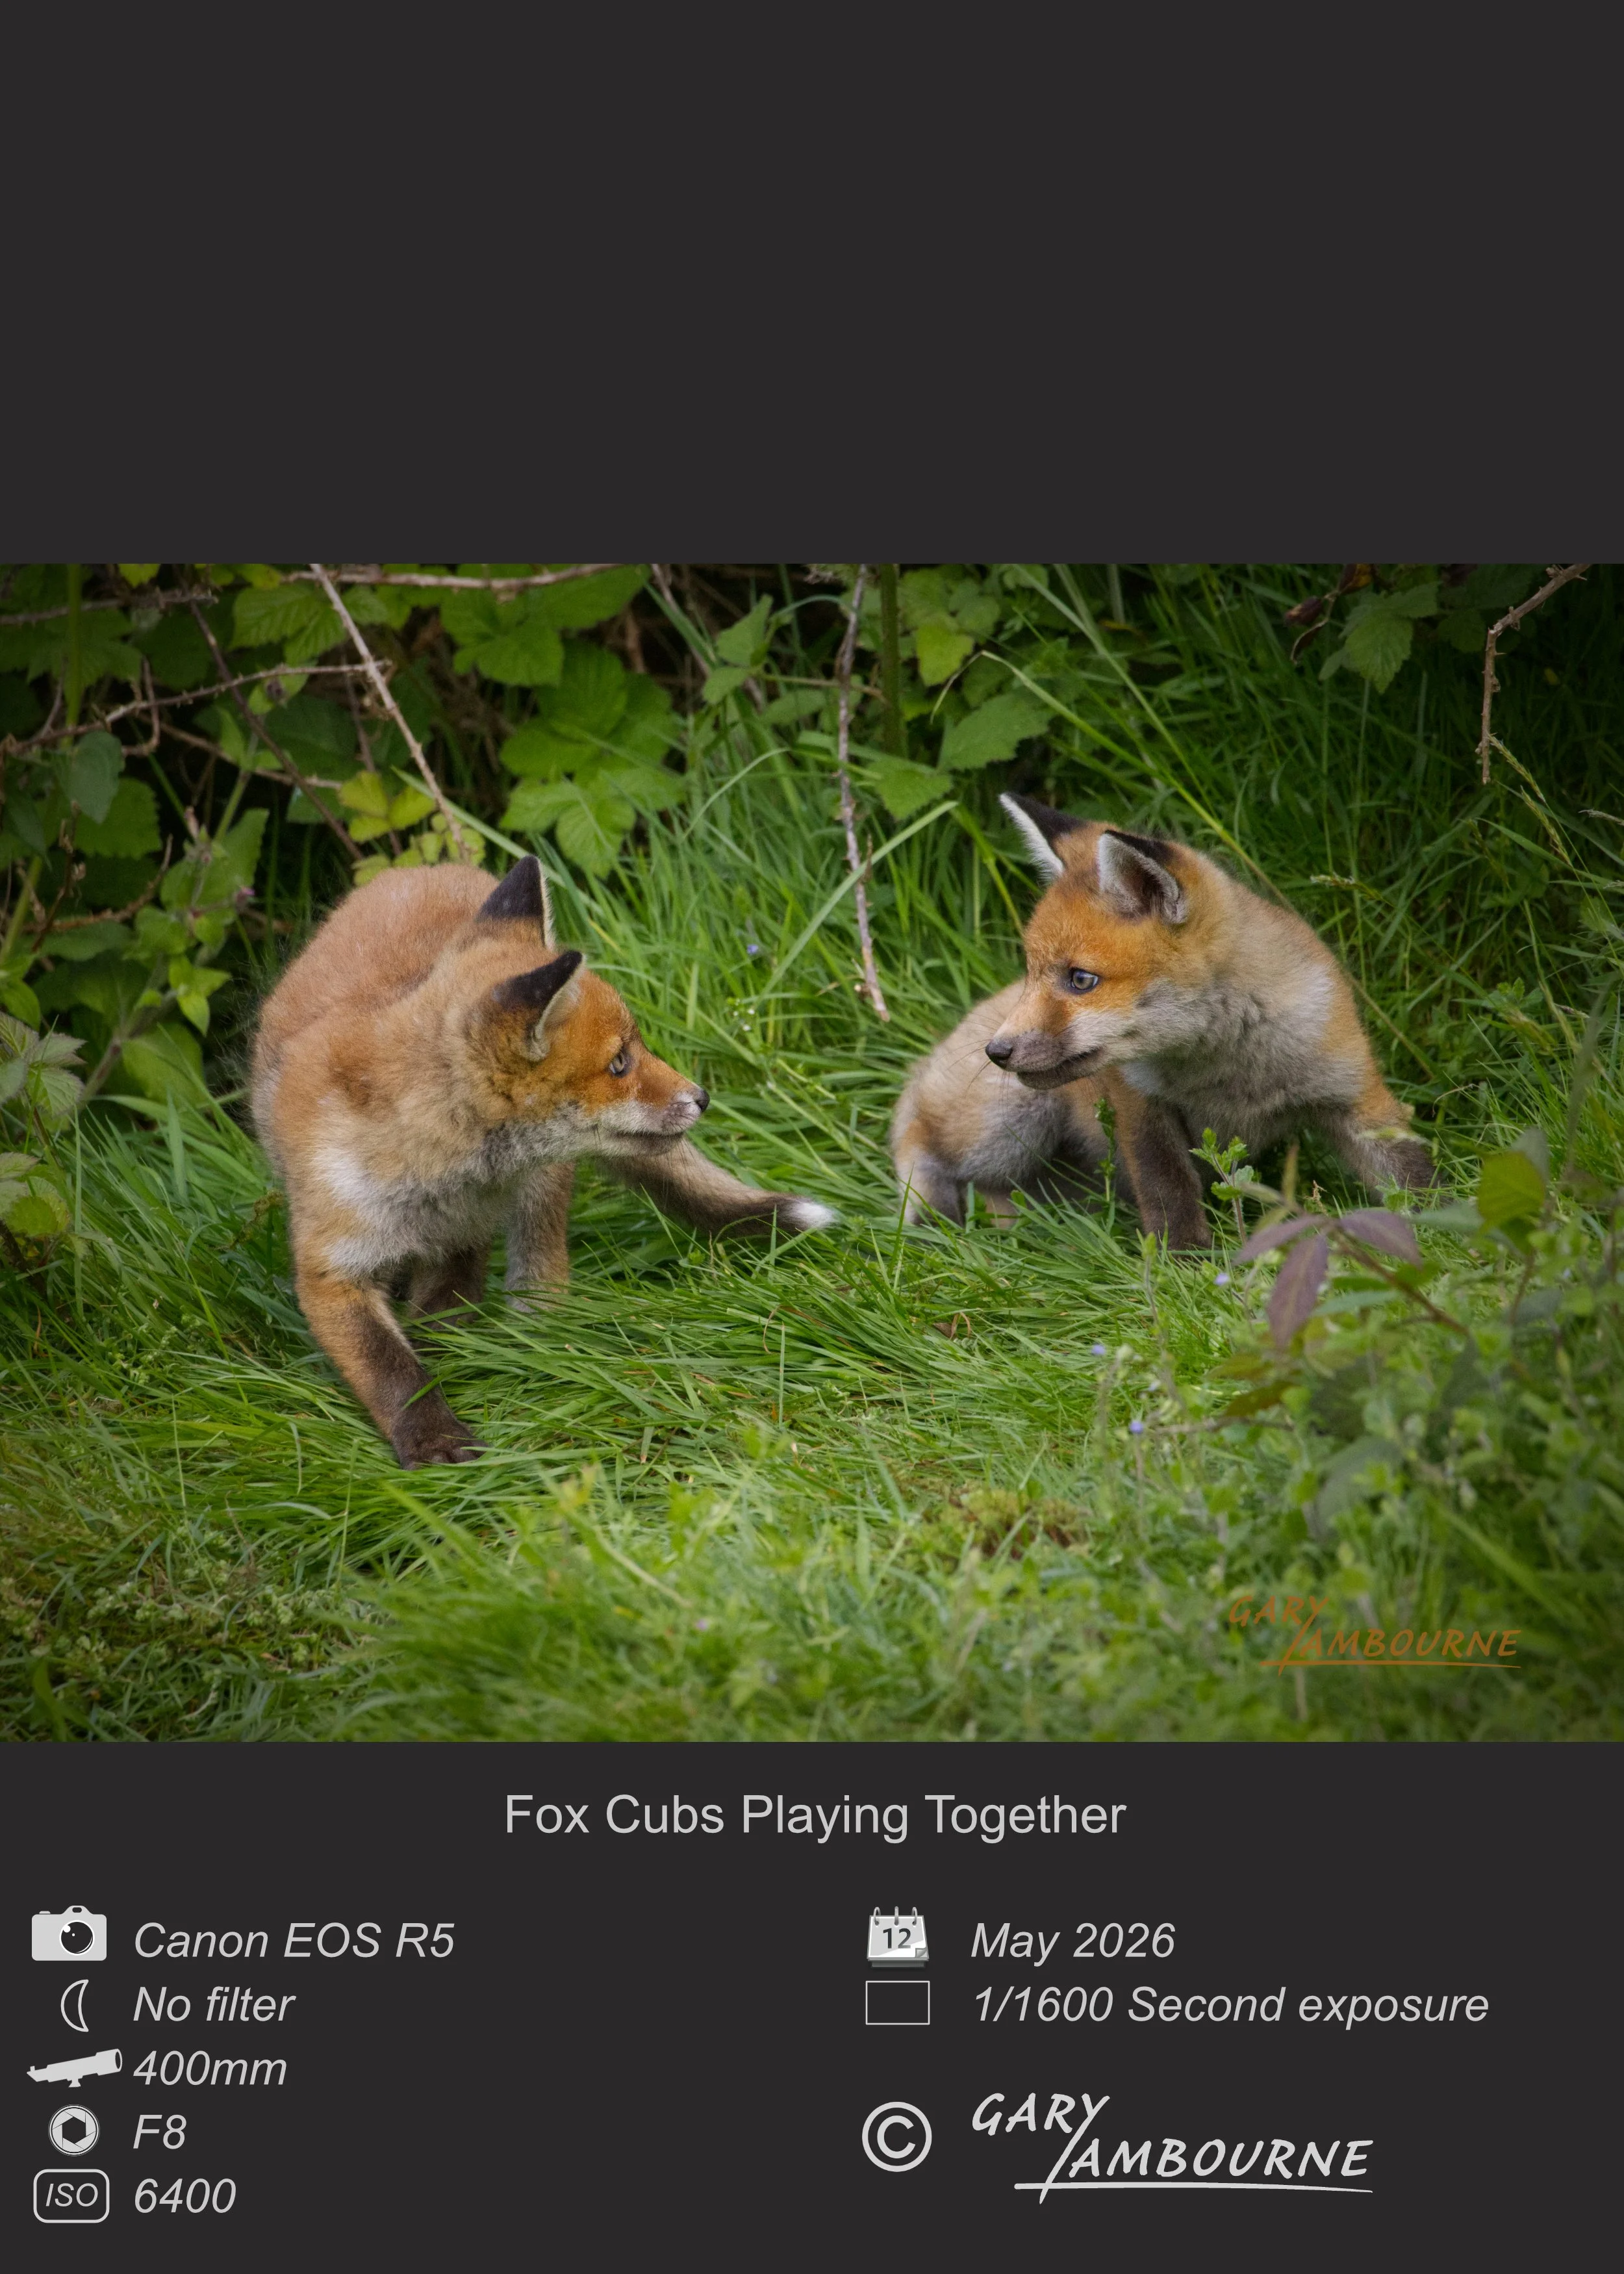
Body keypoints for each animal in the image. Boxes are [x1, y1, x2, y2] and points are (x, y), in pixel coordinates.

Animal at [252, 855, 833, 1467]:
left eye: (635, 1050)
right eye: (620, 1062)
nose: (702, 1098)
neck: (433, 1174)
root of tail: (430, 867)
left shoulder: (462, 1236)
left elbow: (445, 1312)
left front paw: (457, 1364)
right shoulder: (334, 1266)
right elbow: (393, 1370)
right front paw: (434, 1436)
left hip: (542, 1190)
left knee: (541, 1266)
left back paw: (539, 1339)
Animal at [890, 793, 1434, 1249]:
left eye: (1080, 980)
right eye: (1031, 973)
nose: (997, 1052)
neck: (1226, 1071)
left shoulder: (1355, 1094)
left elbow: (1414, 1179)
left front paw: (1442, 1233)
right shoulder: (1142, 1109)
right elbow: (1167, 1192)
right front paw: (1187, 1267)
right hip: (1008, 1124)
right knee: (919, 1140)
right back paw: (935, 1228)